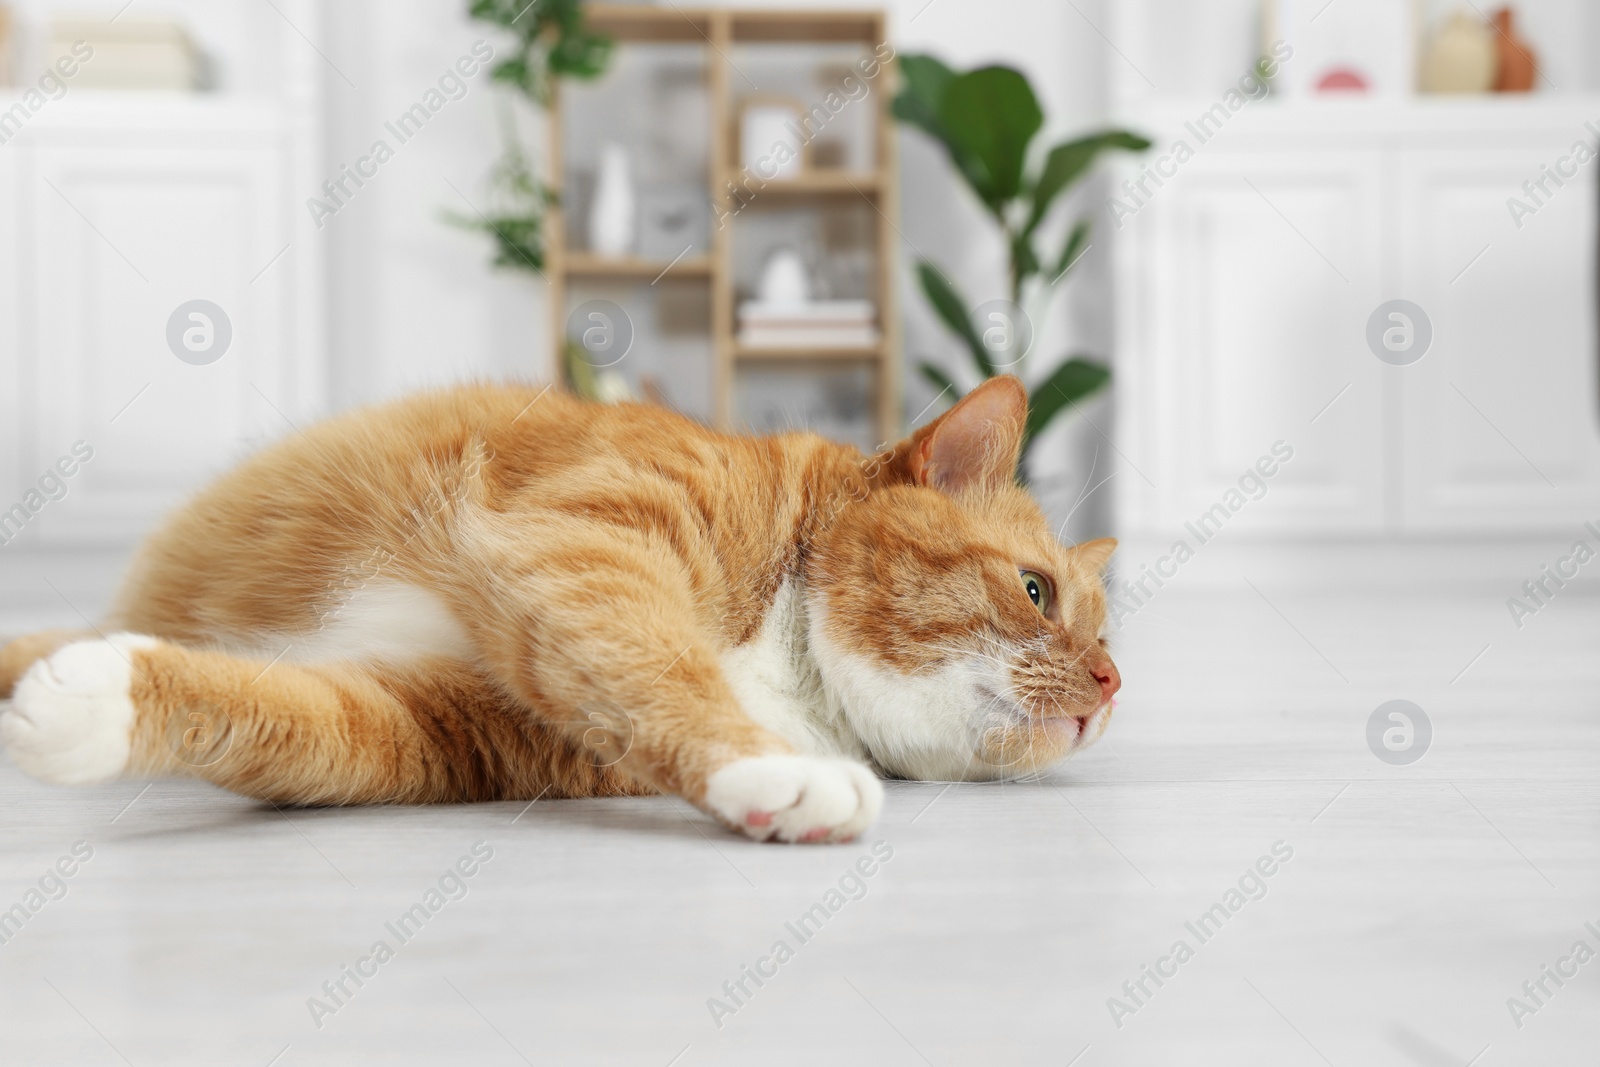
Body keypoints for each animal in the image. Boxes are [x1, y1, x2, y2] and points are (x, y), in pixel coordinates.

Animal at [0, 375, 1120, 844]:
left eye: (1107, 639)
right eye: (1036, 592)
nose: (1112, 685)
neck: (784, 665)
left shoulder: (423, 727)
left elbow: (287, 715)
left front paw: (95, 699)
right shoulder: (592, 543)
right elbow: (662, 664)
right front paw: (778, 766)